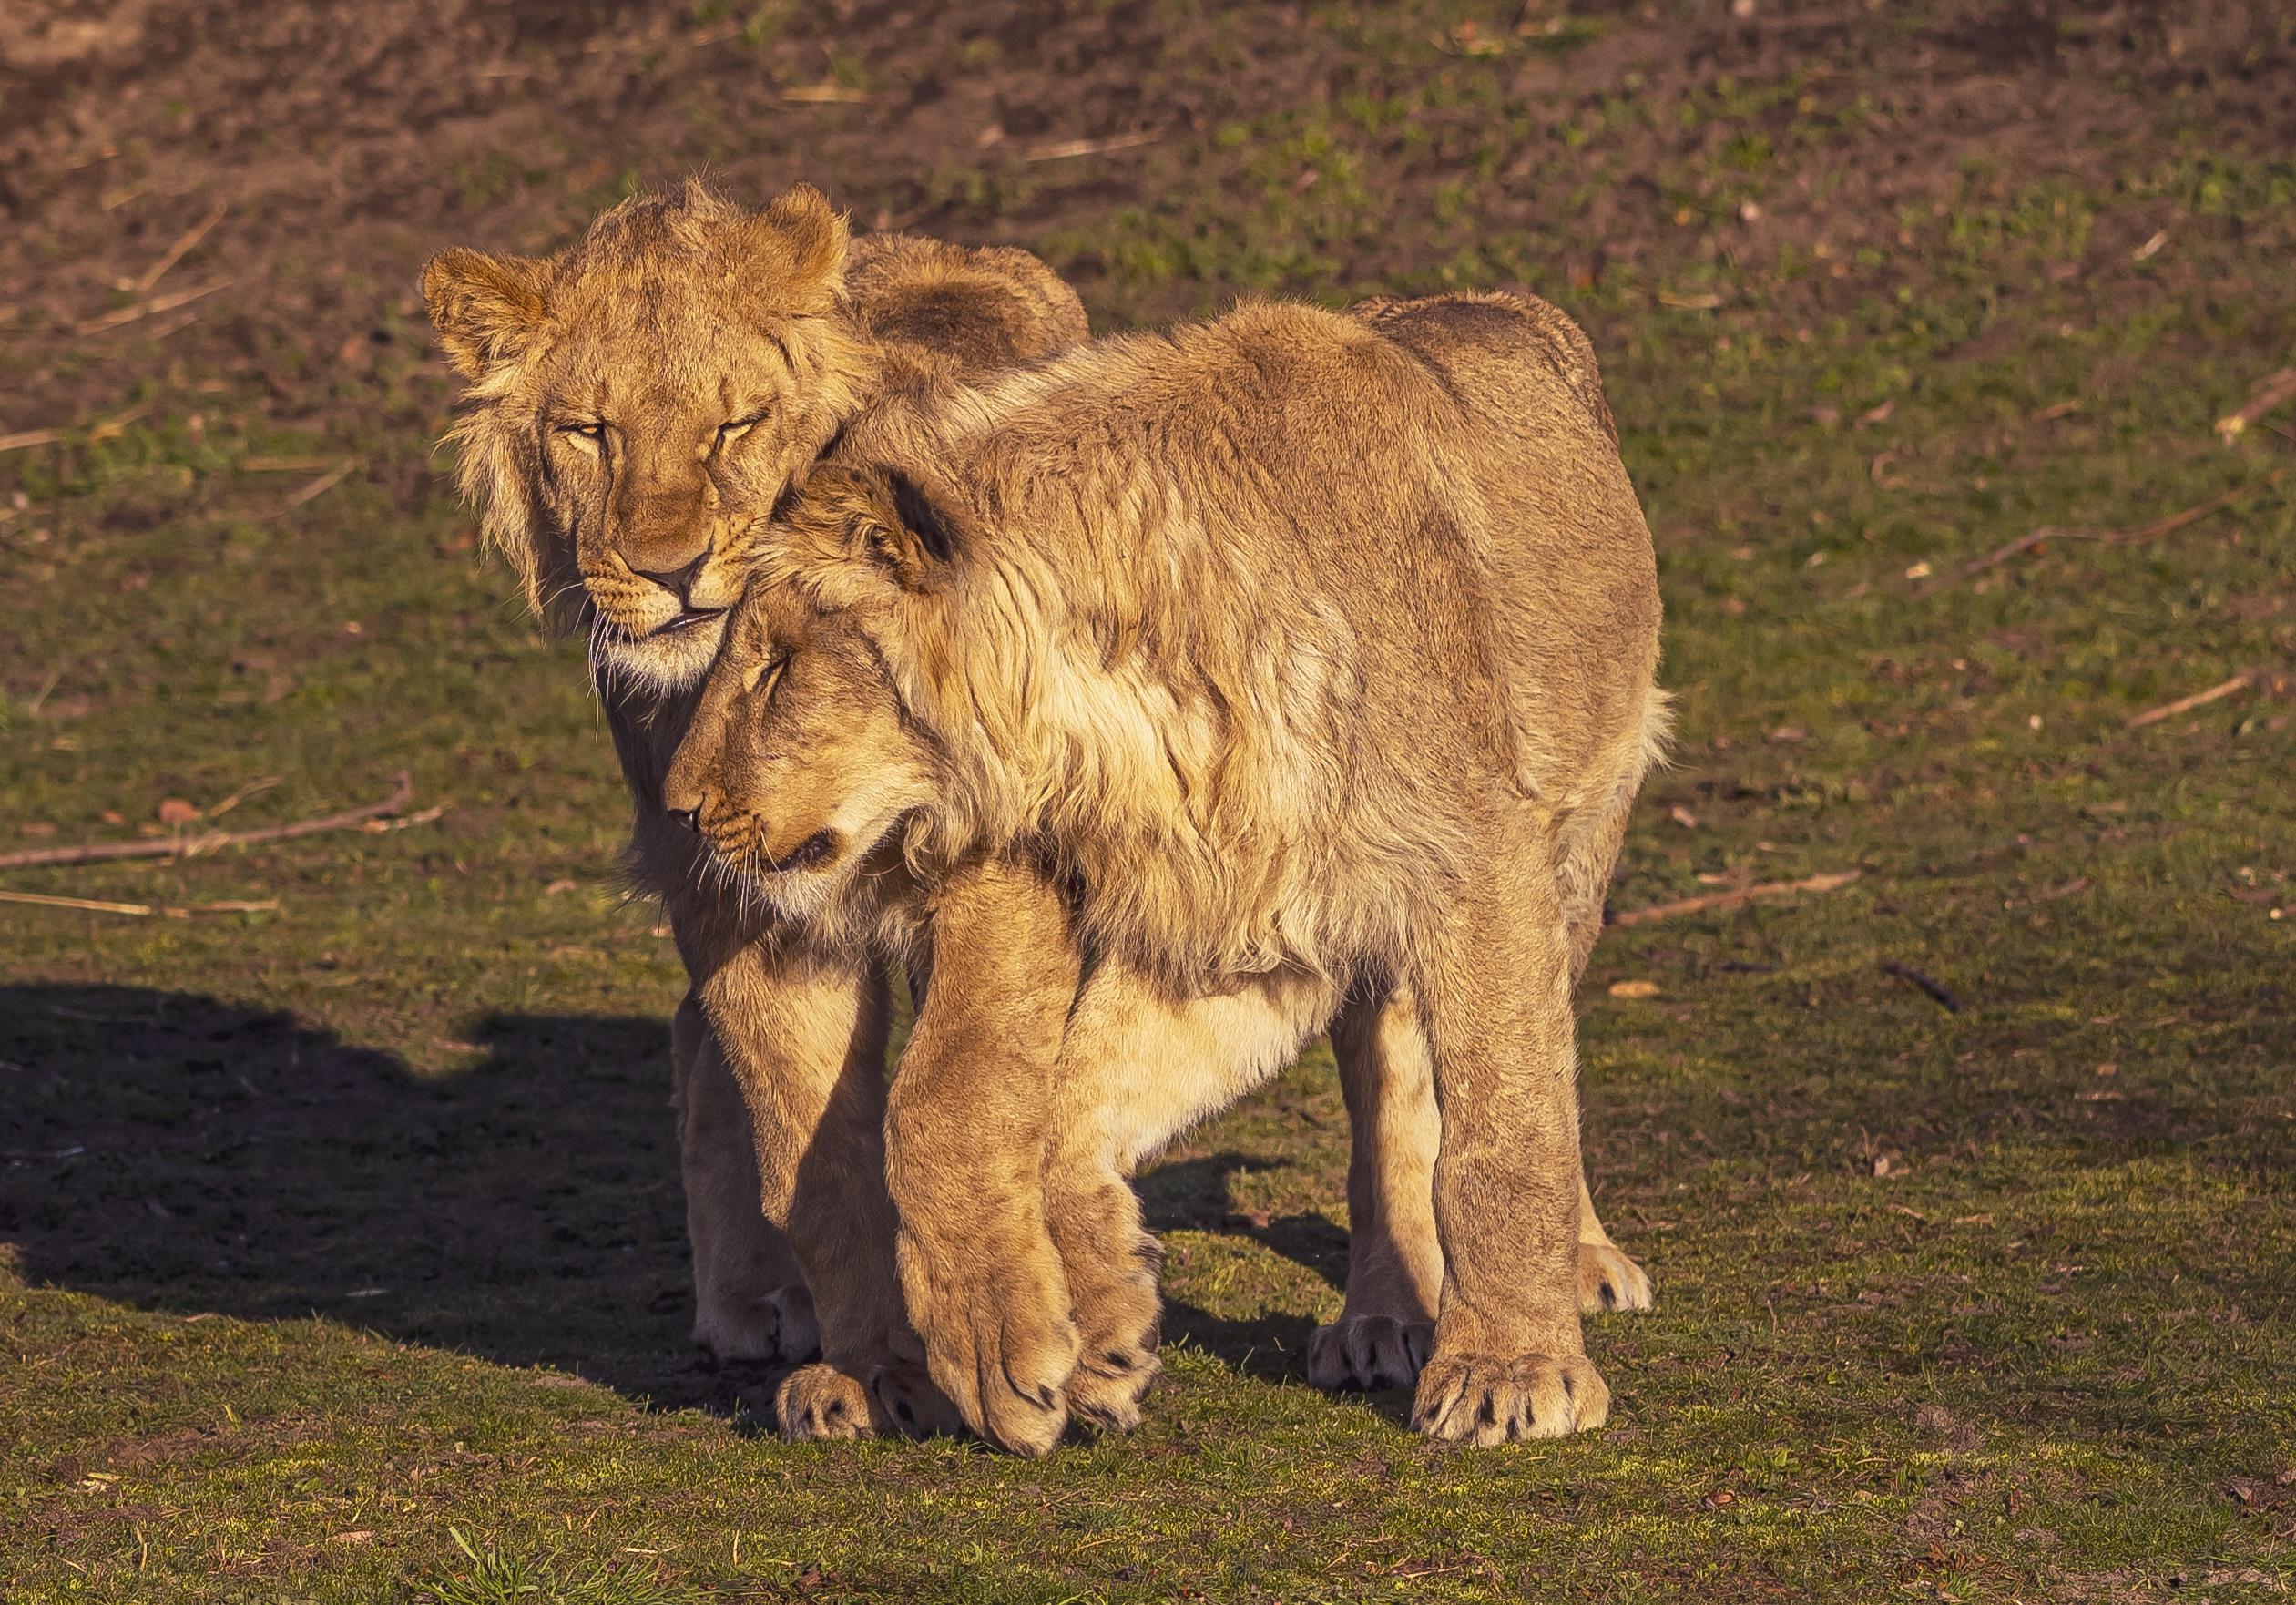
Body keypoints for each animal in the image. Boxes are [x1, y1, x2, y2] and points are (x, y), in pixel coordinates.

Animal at [422, 181, 1093, 1428]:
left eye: (734, 426)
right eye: (588, 432)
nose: (669, 567)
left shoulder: (1007, 858)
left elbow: (948, 1091)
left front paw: (1001, 1344)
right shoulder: (740, 901)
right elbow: (807, 1144)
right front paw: (874, 1367)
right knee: (698, 1040)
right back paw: (749, 1304)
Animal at [666, 289, 1668, 1451]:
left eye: (779, 665)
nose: (680, 807)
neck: (1128, 697)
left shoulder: (1478, 862)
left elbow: (1505, 1133)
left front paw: (1512, 1373)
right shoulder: (1248, 925)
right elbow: (1057, 1106)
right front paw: (1091, 1337)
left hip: (1580, 844)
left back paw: (1578, 1267)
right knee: (1388, 1099)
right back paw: (1377, 1320)